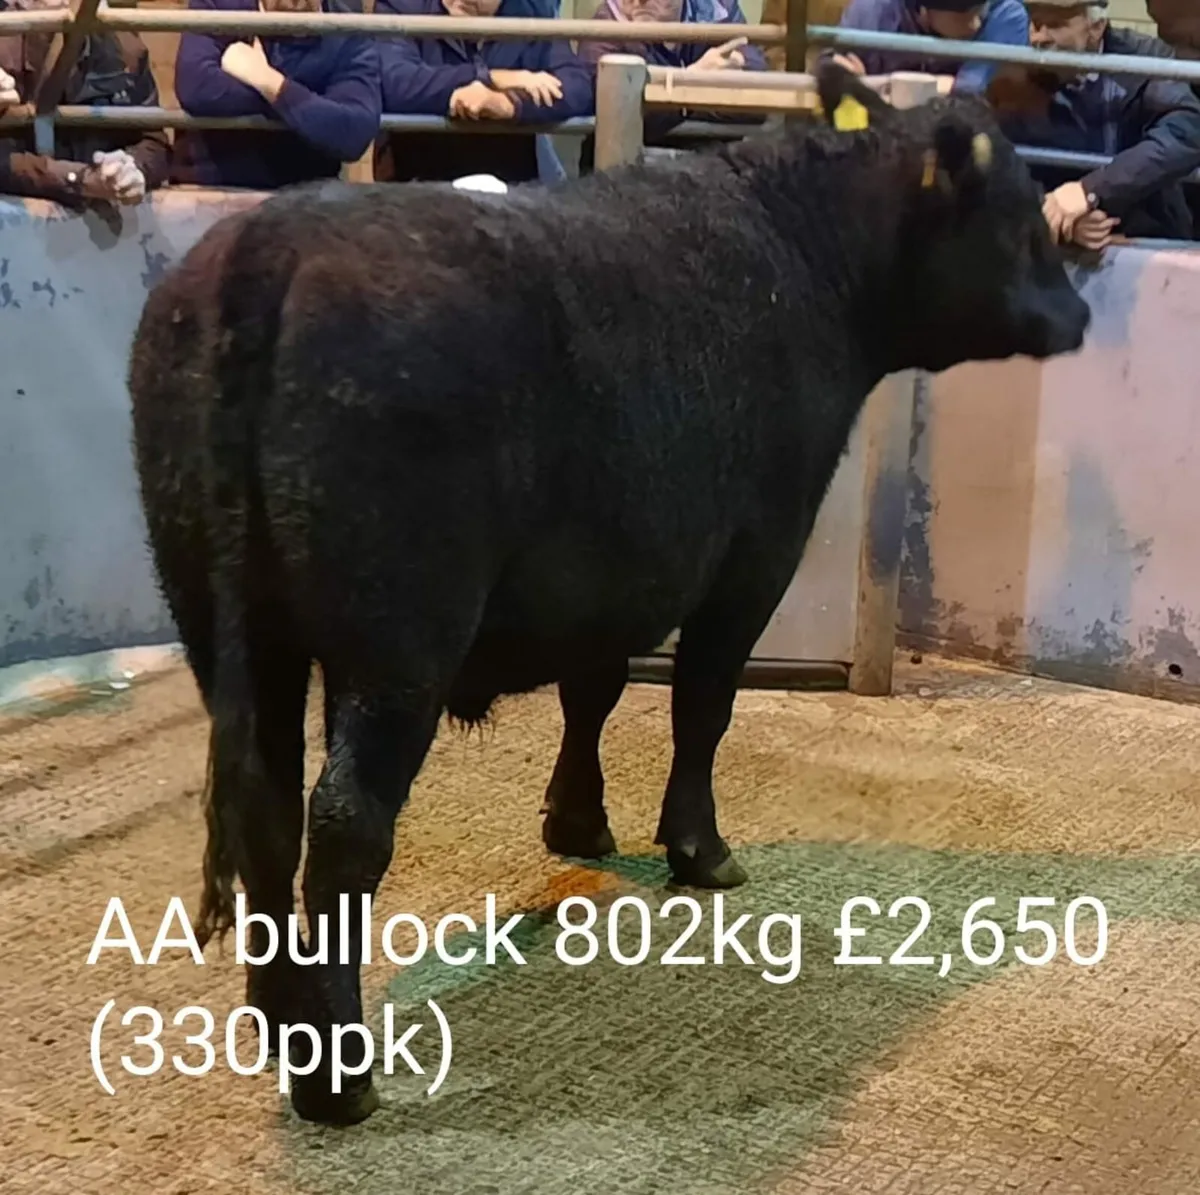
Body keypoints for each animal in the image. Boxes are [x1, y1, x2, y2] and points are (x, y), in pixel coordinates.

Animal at [127, 62, 1090, 1125]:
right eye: (1018, 207)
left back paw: (278, 1015)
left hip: (228, 625)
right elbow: (701, 706)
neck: (800, 253)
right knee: (344, 825)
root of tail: (273, 239)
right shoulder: (752, 555)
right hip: (399, 636)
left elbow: (592, 693)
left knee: (267, 811)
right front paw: (700, 849)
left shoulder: (605, 573)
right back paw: (338, 1075)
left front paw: (577, 820)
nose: (1080, 313)